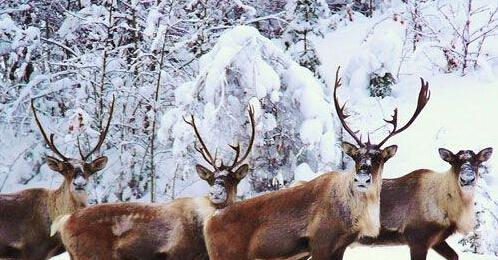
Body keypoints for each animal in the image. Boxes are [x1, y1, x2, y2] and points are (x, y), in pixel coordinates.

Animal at [204, 69, 430, 260]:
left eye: (379, 157)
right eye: (356, 156)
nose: (362, 178)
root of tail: (209, 222)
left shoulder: (340, 246)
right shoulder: (321, 242)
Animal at [358, 146, 490, 260]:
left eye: (477, 162)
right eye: (454, 161)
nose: (467, 179)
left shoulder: (437, 240)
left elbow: (454, 256)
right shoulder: (417, 239)